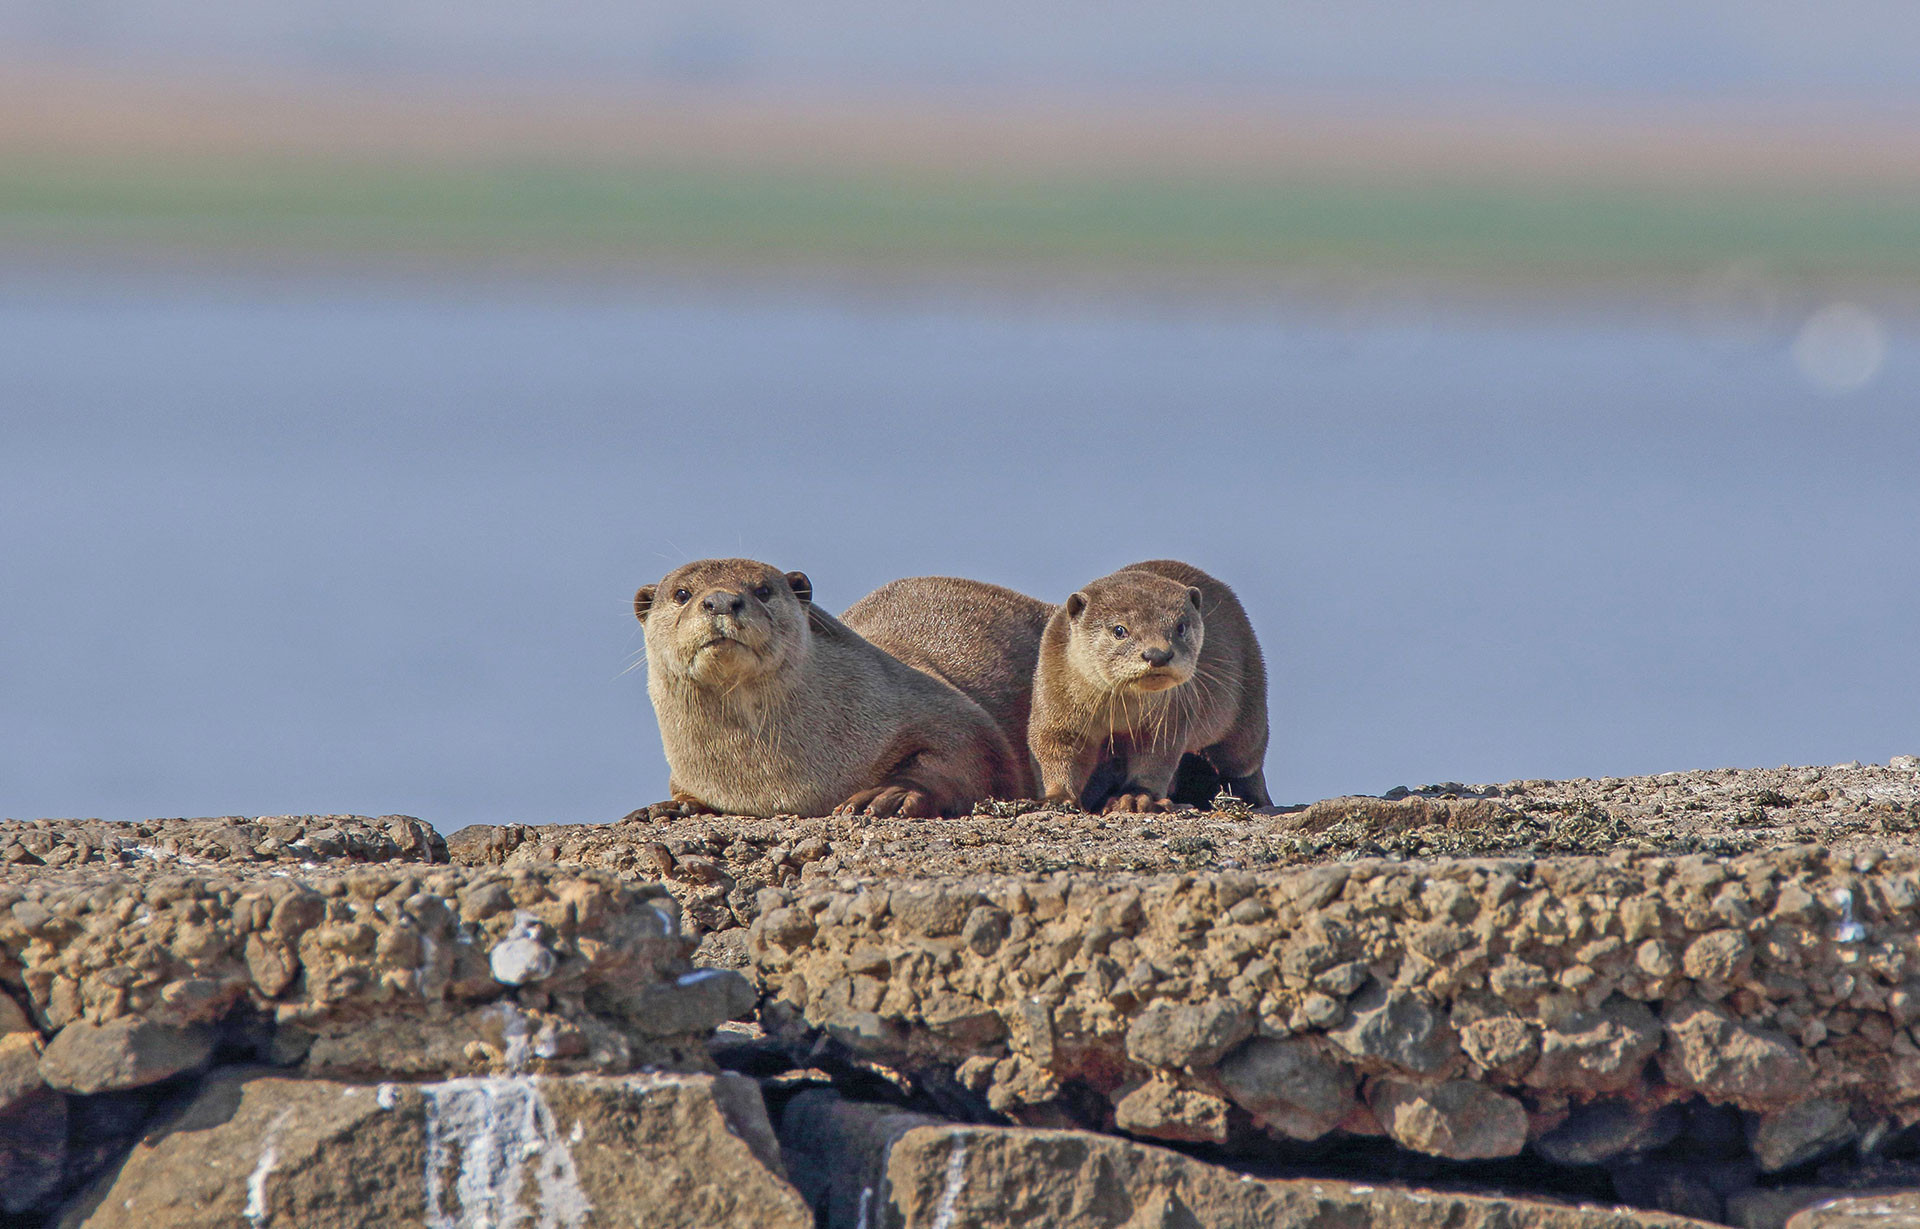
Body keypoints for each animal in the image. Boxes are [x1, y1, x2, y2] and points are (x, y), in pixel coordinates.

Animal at [634, 558, 1023, 818]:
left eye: (763, 590)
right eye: (682, 593)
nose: (722, 601)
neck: (766, 780)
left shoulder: (935, 704)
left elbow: (973, 752)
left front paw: (889, 794)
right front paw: (673, 806)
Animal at [1030, 561, 1271, 813]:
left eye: (1180, 627)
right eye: (1119, 630)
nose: (1158, 654)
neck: (1118, 712)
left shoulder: (1169, 720)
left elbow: (1155, 760)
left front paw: (1135, 797)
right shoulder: (1056, 701)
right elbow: (1056, 749)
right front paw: (1057, 797)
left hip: (1249, 712)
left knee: (1245, 763)